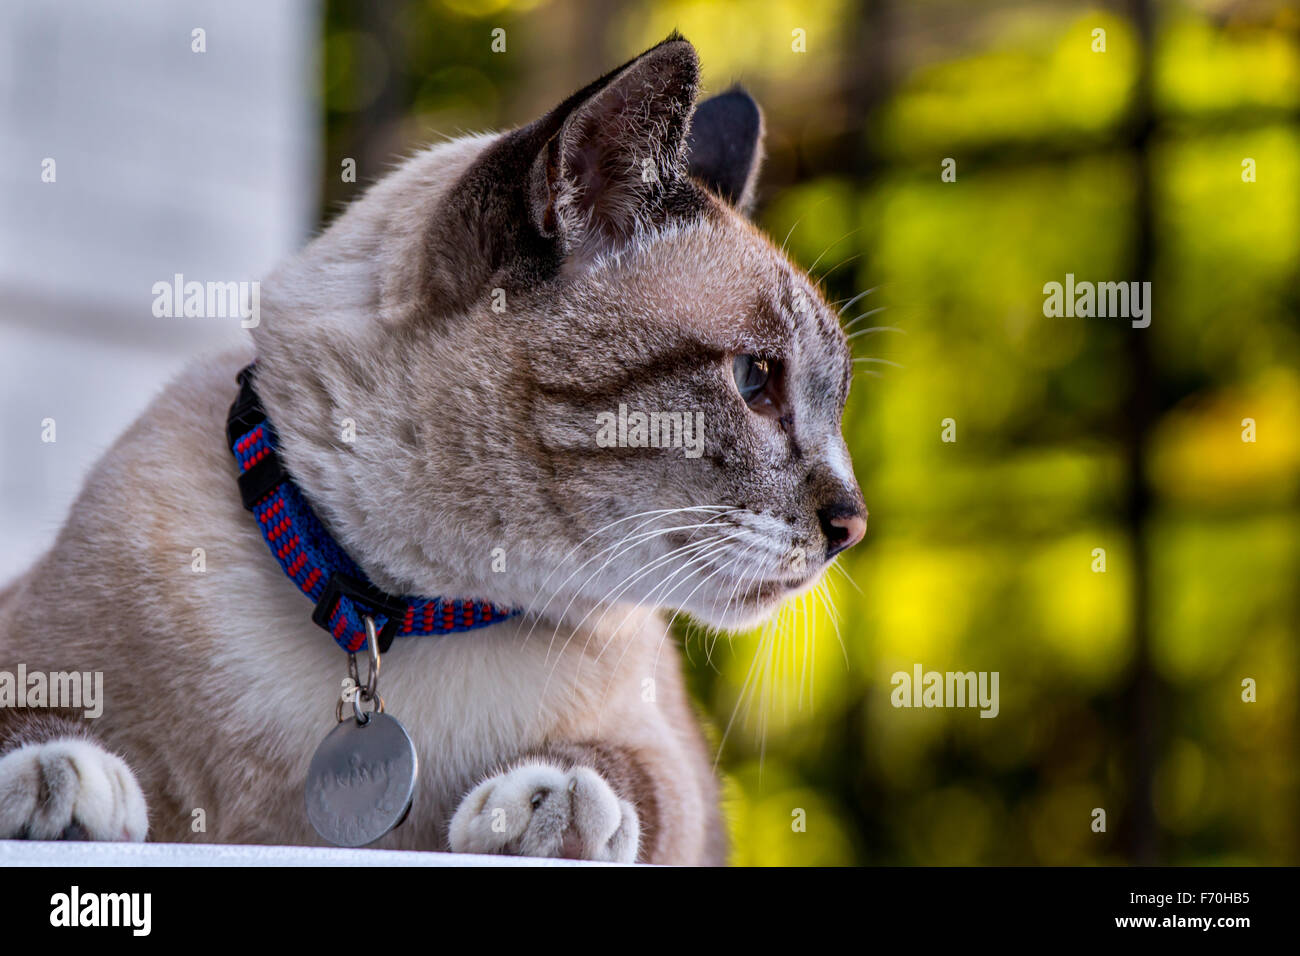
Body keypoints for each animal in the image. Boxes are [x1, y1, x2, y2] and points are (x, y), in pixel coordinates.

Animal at [2, 33, 873, 863]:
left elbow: (625, 781)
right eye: (755, 381)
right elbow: (31, 719)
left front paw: (544, 805)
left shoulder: (676, 776)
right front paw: (57, 777)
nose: (853, 526)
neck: (396, 604)